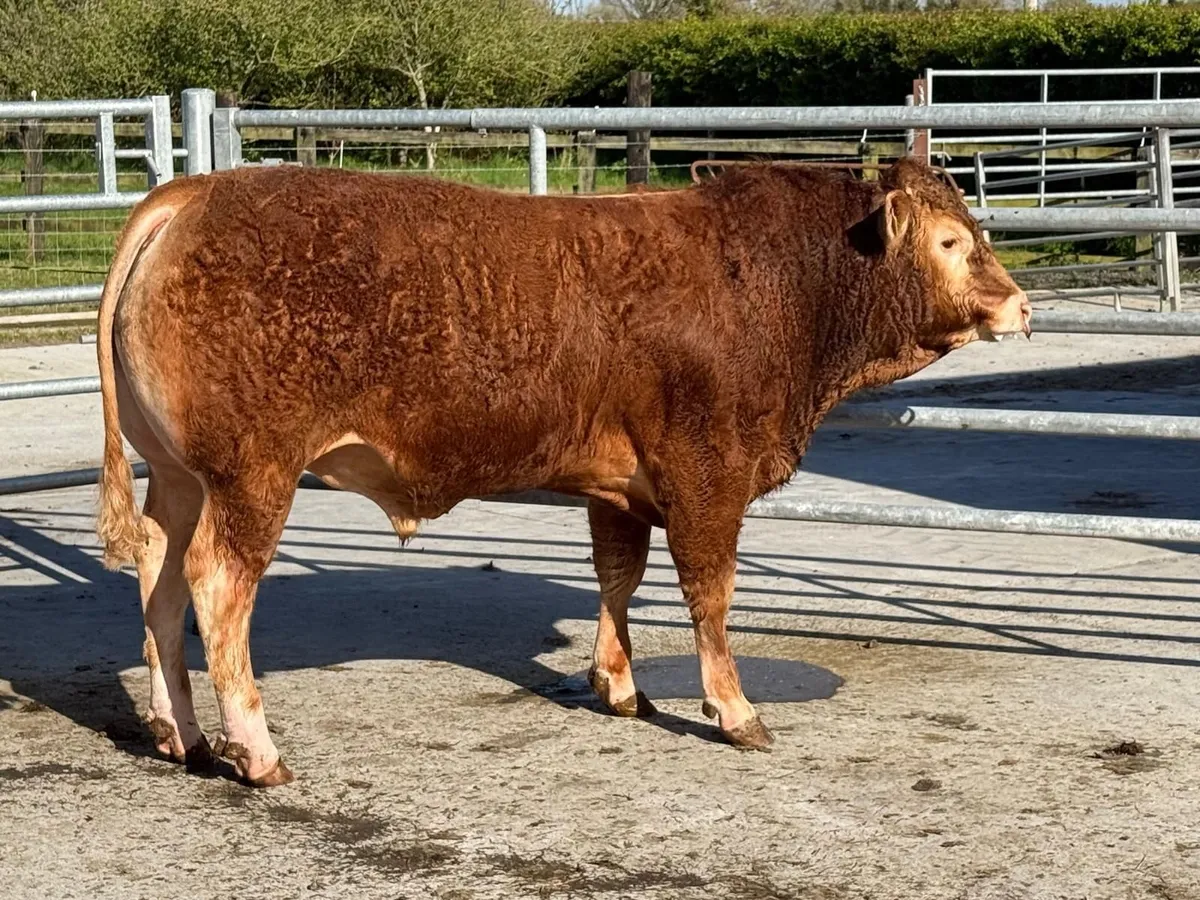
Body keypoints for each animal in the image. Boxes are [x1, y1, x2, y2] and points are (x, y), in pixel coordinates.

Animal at [94, 158, 1030, 787]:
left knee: (159, 578)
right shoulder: (707, 473)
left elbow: (619, 578)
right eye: (952, 240)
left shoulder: (621, 486)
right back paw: (256, 752)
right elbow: (710, 593)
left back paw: (181, 733)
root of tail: (194, 194)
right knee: (217, 588)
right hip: (251, 475)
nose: (1021, 306)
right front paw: (734, 711)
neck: (777, 282)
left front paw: (618, 685)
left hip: (178, 478)